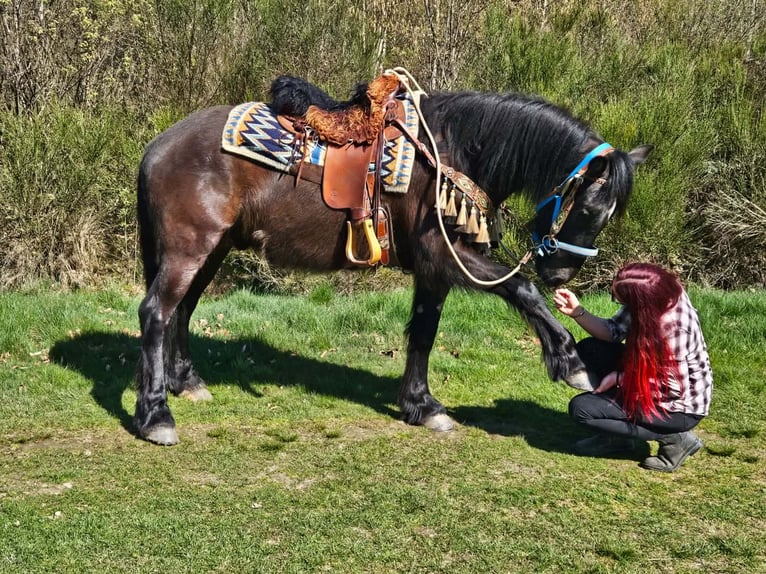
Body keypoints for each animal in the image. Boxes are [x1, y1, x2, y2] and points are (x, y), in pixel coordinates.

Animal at [135, 74, 652, 445]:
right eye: (590, 209)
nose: (561, 272)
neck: (451, 152)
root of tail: (158, 146)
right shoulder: (447, 255)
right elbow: (521, 289)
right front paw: (570, 361)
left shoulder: (434, 270)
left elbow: (423, 332)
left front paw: (421, 406)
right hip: (189, 249)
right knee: (156, 313)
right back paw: (156, 414)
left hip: (212, 250)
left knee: (182, 310)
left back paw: (187, 382)